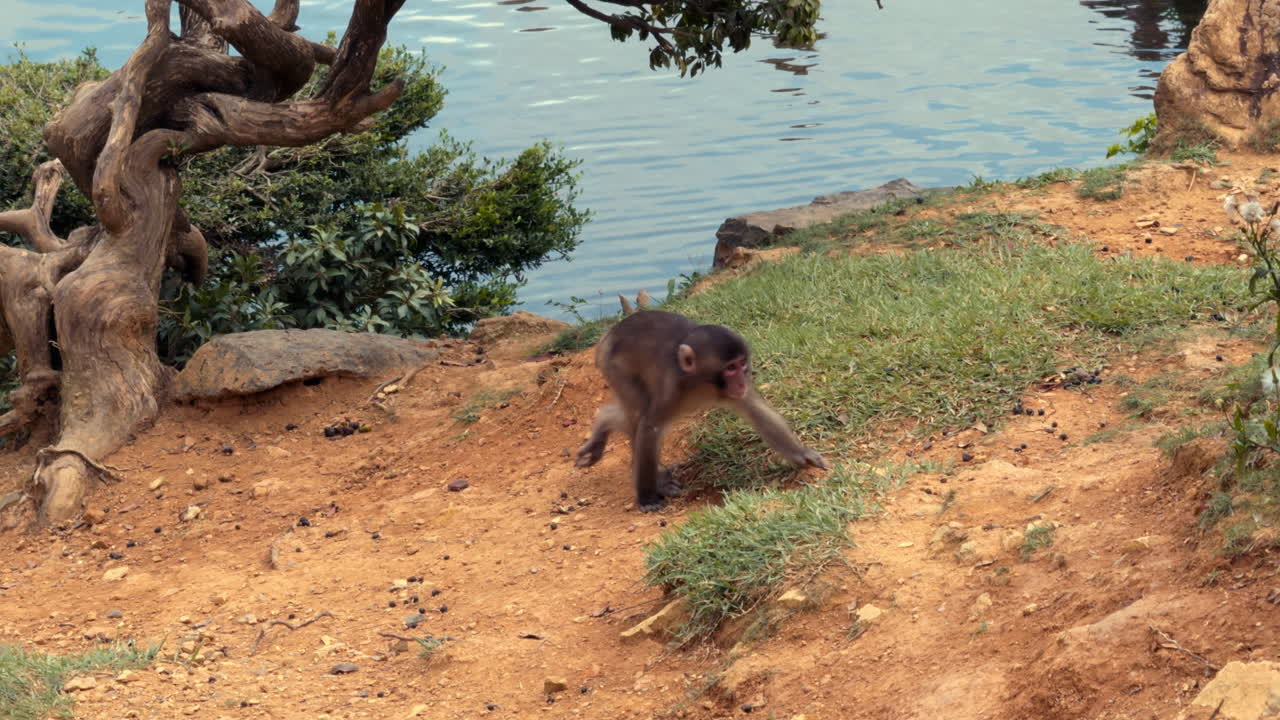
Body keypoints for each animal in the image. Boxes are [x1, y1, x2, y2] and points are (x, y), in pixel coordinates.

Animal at [576, 310, 828, 511]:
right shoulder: (671, 387)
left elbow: (755, 410)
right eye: (730, 368)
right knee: (637, 415)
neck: (702, 383)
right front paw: (647, 497)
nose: (741, 382)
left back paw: (604, 423)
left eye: (741, 364)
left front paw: (802, 454)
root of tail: (608, 335)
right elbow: (649, 427)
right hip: (614, 366)